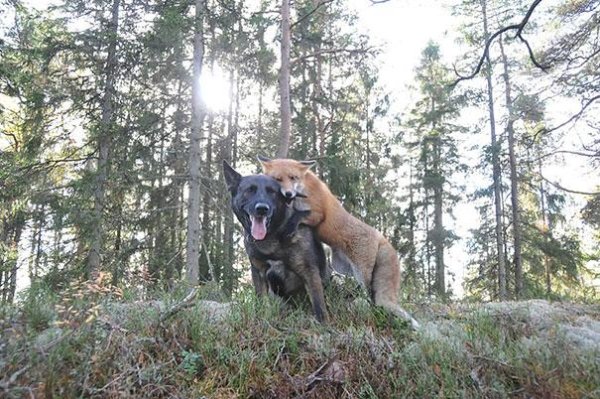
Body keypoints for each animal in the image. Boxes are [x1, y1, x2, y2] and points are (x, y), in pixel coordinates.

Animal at [223, 161, 330, 324]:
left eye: (272, 192)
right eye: (249, 190)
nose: (262, 209)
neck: (272, 235)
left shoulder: (309, 271)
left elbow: (319, 305)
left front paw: (324, 325)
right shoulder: (259, 272)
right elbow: (261, 302)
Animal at [258, 155, 418, 328]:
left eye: (293, 177)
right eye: (278, 179)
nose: (288, 194)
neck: (302, 191)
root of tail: (381, 236)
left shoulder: (318, 214)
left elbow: (299, 216)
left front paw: (290, 226)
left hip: (362, 272)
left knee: (370, 295)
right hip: (341, 267)